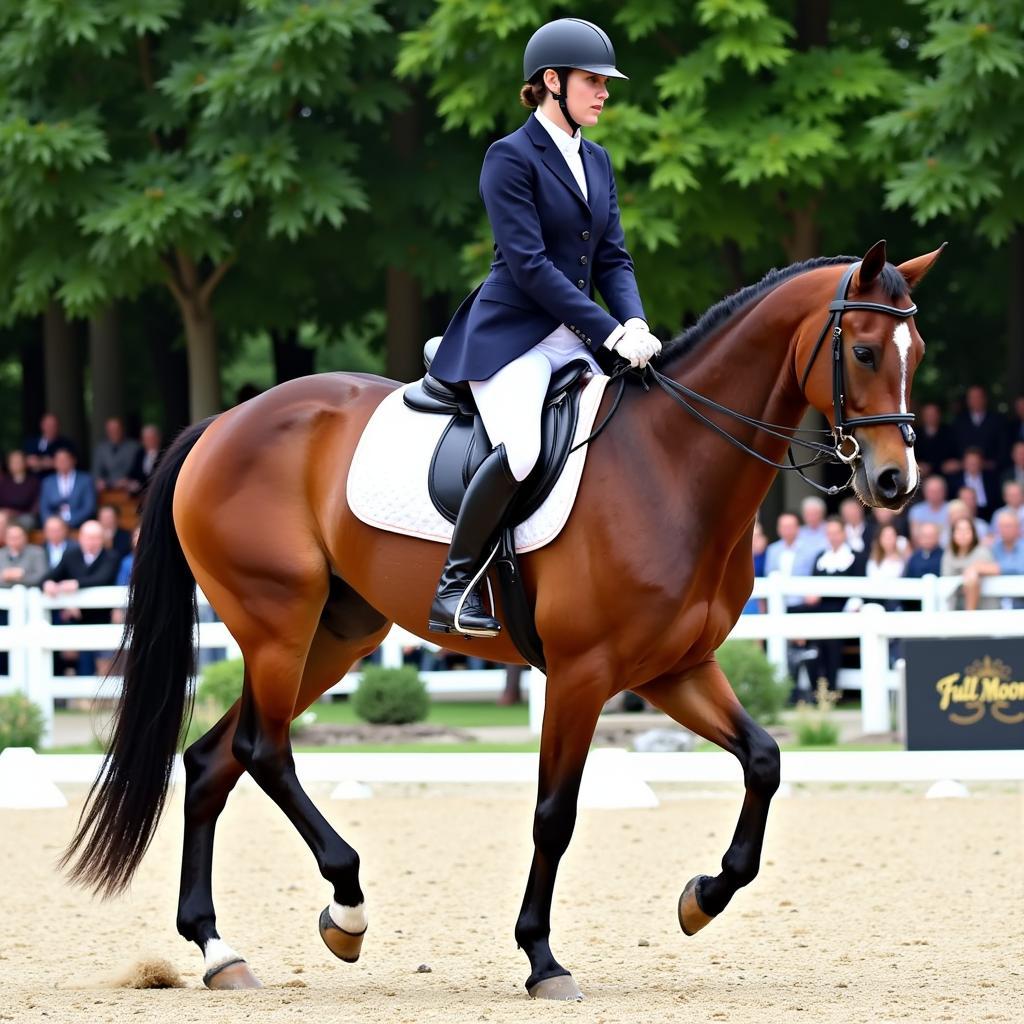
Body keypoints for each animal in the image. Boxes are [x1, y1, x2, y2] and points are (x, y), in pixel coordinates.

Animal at [64, 241, 942, 999]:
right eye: (865, 352)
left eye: (919, 353)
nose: (894, 483)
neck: (672, 464)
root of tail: (219, 425)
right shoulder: (585, 673)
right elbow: (555, 815)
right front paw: (542, 959)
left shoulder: (673, 669)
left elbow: (764, 760)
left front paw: (704, 897)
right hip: (278, 623)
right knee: (263, 750)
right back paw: (346, 909)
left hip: (336, 635)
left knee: (214, 758)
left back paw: (220, 951)